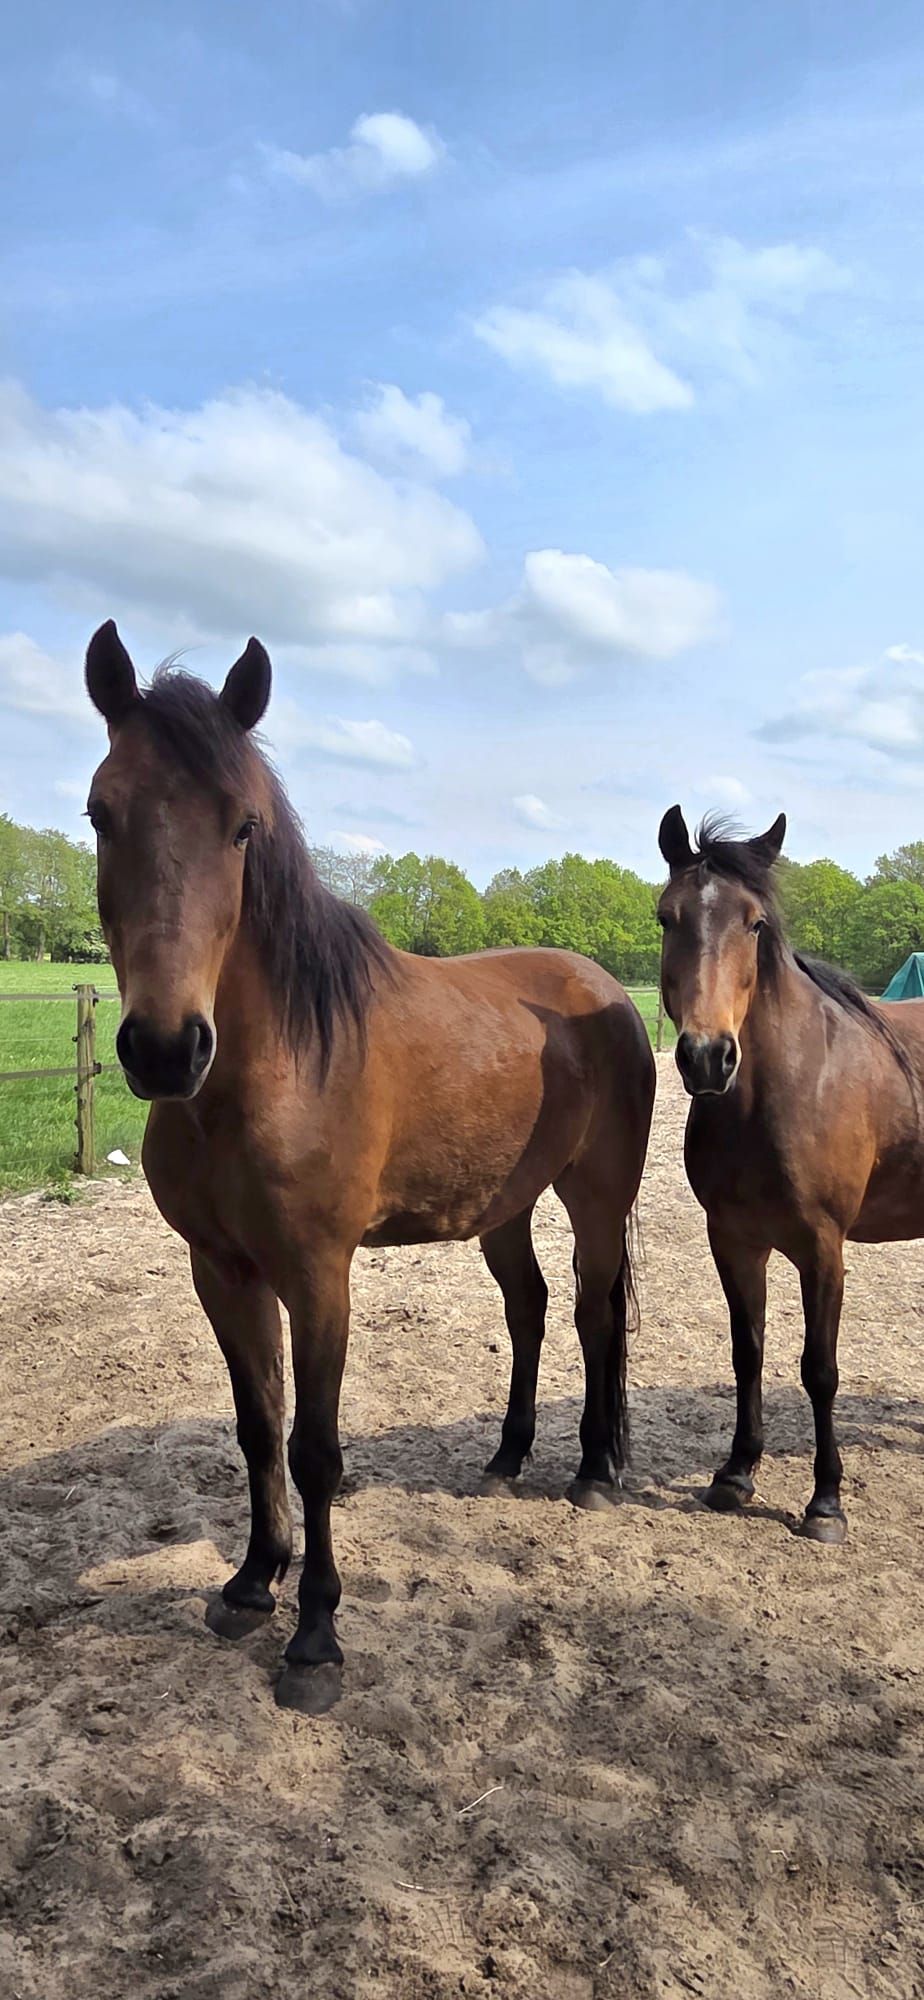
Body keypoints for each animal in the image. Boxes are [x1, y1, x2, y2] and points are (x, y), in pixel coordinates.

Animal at [83, 620, 656, 1713]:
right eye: (100, 811)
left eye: (243, 827)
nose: (167, 1049)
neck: (265, 1069)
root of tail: (602, 987)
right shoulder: (221, 1270)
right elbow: (258, 1425)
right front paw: (252, 1581)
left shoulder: (319, 1275)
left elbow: (314, 1448)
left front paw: (315, 1637)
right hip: (504, 1208)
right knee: (530, 1308)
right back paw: (507, 1456)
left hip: (598, 1197)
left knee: (595, 1312)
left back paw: (595, 1470)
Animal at [657, 803, 924, 1544]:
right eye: (666, 917)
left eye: (754, 922)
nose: (707, 1057)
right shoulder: (734, 1241)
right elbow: (747, 1351)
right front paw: (736, 1472)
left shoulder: (822, 1250)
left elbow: (819, 1369)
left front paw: (825, 1501)